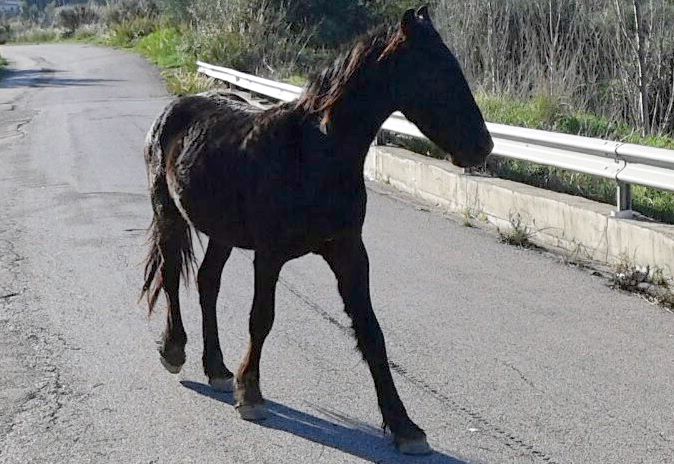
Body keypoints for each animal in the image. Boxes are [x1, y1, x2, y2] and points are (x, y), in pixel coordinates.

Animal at [139, 5, 490, 454]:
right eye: (434, 72)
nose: (483, 146)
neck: (314, 152)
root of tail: (175, 109)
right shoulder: (269, 256)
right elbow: (261, 318)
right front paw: (250, 393)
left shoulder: (349, 253)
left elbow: (371, 333)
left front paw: (404, 425)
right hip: (168, 212)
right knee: (170, 275)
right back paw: (174, 349)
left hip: (222, 232)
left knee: (207, 282)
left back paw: (215, 368)